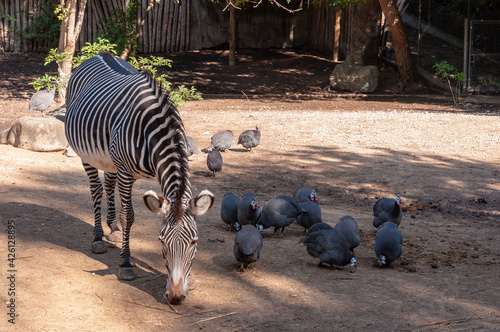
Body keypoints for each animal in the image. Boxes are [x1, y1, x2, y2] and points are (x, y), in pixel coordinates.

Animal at [64, 51, 213, 304]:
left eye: (194, 242)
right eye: (161, 241)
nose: (175, 297)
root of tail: (100, 54)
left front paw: (190, 280)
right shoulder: (126, 172)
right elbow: (128, 217)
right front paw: (125, 264)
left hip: (109, 159)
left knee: (108, 184)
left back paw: (112, 229)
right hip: (87, 154)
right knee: (96, 189)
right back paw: (98, 238)